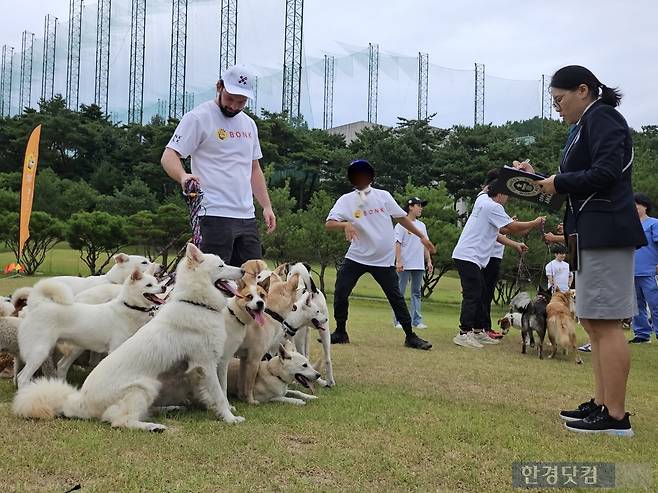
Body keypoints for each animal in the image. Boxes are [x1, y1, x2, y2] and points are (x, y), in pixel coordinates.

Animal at [13, 244, 249, 432]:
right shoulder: (206, 363)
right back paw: (154, 426)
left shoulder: (213, 364)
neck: (196, 304)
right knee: (120, 421)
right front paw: (230, 418)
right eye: (221, 265)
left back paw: (170, 408)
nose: (244, 270)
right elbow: (219, 394)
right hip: (144, 386)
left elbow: (220, 391)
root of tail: (79, 401)